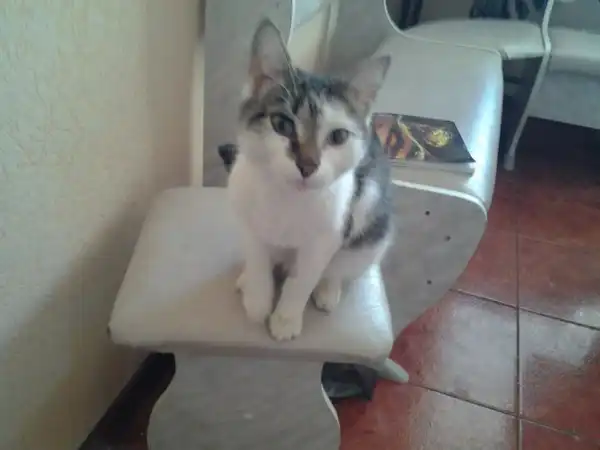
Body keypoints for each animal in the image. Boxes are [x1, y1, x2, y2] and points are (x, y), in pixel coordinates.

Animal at [227, 18, 393, 341]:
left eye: (338, 136)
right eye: (281, 124)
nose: (307, 165)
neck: (286, 198)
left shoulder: (327, 235)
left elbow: (302, 279)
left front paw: (286, 319)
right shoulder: (246, 219)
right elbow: (257, 257)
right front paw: (257, 300)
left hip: (371, 229)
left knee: (340, 266)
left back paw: (328, 289)